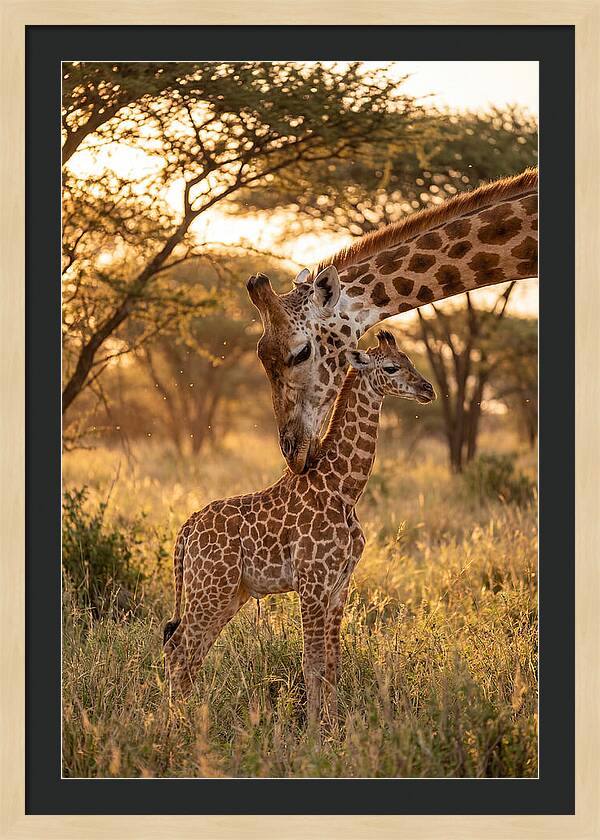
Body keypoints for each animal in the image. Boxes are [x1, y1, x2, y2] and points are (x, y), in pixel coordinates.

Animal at [163, 330, 435, 727]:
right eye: (391, 367)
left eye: (410, 360)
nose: (428, 389)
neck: (343, 489)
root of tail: (187, 529)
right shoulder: (312, 582)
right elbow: (311, 663)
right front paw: (313, 733)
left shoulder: (339, 585)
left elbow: (333, 664)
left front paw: (335, 728)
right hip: (210, 588)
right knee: (179, 649)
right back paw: (174, 727)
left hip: (229, 593)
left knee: (189, 650)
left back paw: (186, 721)